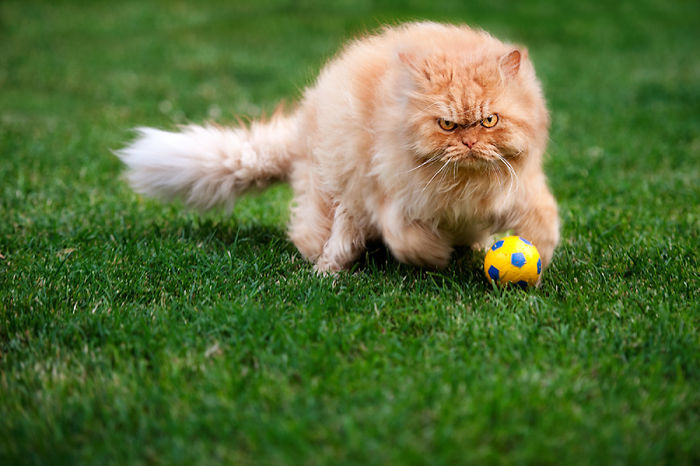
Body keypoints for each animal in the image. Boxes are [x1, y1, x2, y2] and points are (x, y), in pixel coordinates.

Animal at [119, 21, 556, 274]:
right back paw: (327, 272)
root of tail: (300, 133)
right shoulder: (391, 202)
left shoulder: (520, 189)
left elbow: (543, 224)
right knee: (325, 240)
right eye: (447, 125)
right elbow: (410, 241)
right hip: (340, 198)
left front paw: (534, 259)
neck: (463, 186)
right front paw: (437, 257)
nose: (468, 141)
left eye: (489, 122)